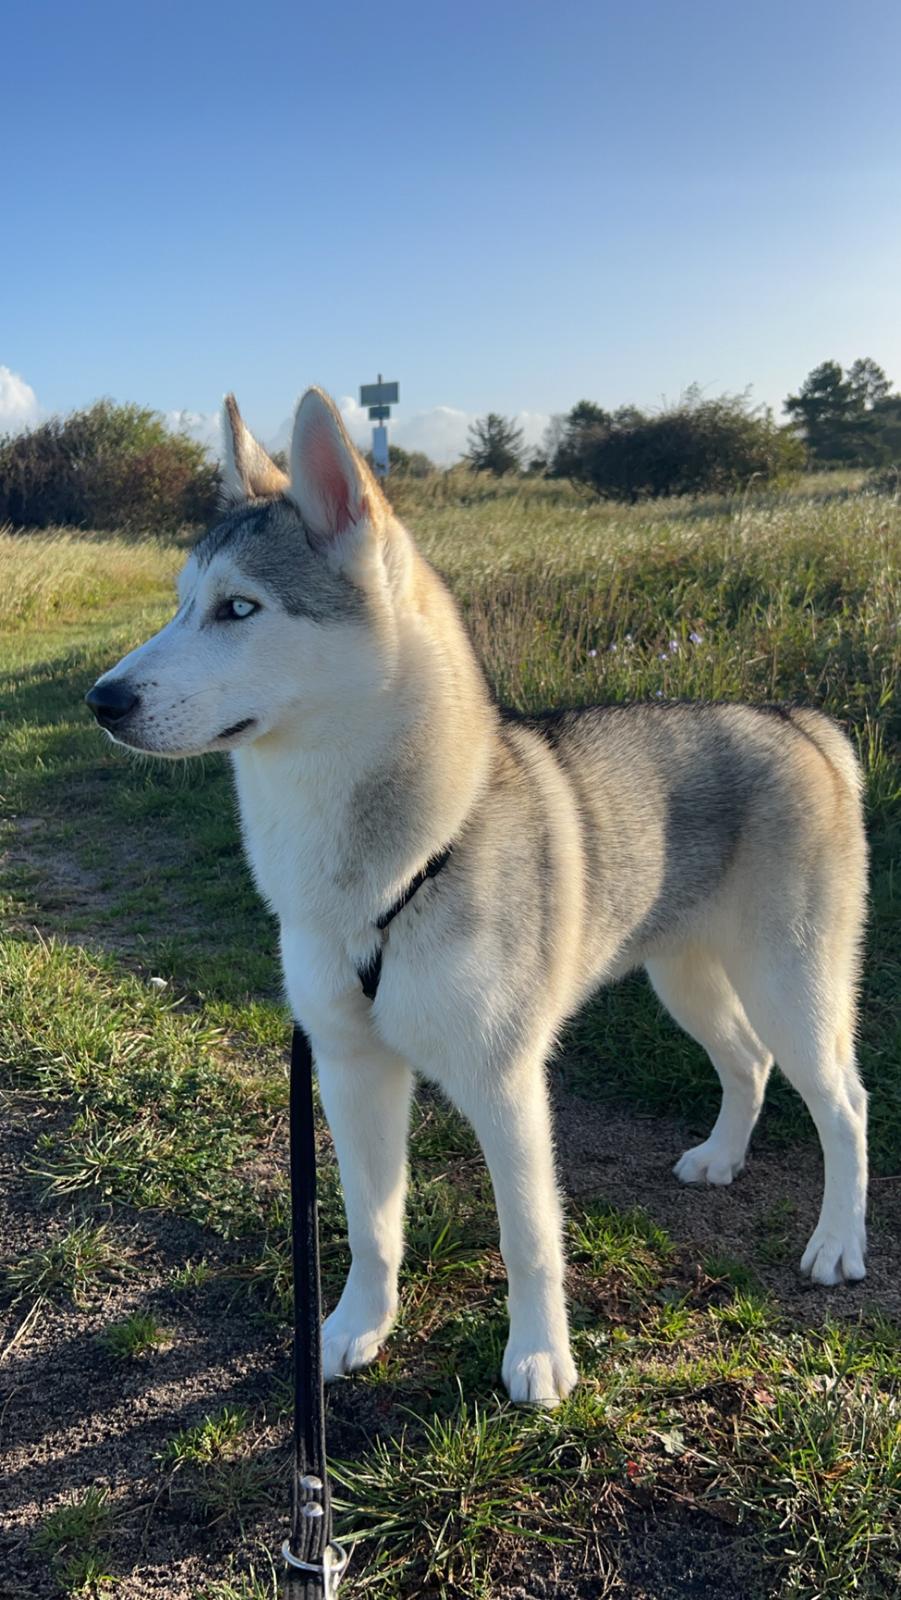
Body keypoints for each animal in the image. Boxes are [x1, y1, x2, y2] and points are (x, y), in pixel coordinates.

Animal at [88, 384, 870, 1401]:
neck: (386, 868)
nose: (102, 701)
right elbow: (371, 1226)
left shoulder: (504, 1082)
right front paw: (352, 1330)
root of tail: (798, 720)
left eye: (238, 608)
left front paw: (538, 1357)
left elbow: (528, 1238)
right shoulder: (350, 1071)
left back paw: (837, 1242)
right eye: (182, 606)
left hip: (790, 983)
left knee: (843, 1104)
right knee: (747, 1063)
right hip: (685, 978)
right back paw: (721, 1156)